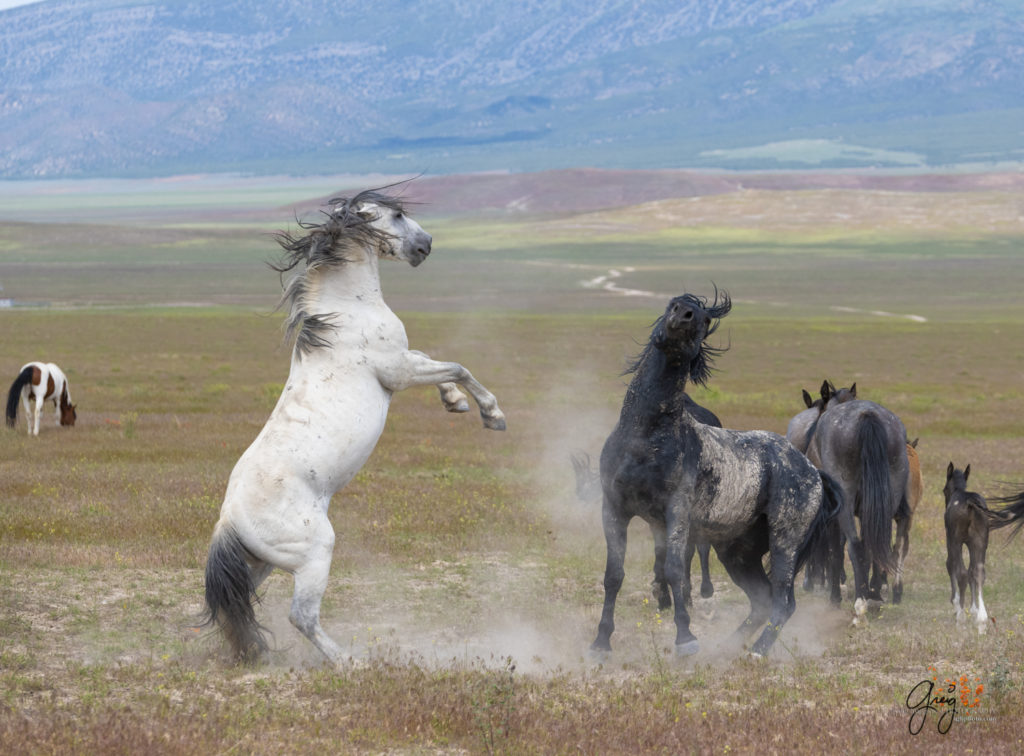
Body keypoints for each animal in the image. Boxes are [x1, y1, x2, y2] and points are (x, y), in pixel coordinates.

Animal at [201, 188, 505, 663]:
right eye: (396, 215)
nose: (426, 245)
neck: (346, 311)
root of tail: (229, 520)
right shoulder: (397, 372)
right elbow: (457, 366)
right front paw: (491, 414)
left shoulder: (404, 362)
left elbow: (437, 362)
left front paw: (453, 403)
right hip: (314, 553)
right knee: (301, 616)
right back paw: (348, 662)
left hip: (262, 563)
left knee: (242, 605)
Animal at [569, 383, 720, 614]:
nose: (580, 496)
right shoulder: (655, 519)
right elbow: (660, 552)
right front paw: (663, 593)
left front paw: (682, 594)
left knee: (700, 547)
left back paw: (704, 589)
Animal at [593, 290, 839, 655]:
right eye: (672, 303)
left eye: (705, 318)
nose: (685, 315)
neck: (645, 436)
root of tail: (812, 472)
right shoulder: (614, 509)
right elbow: (614, 574)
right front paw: (600, 642)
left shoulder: (675, 513)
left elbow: (675, 572)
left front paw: (686, 640)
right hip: (738, 553)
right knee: (762, 600)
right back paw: (725, 648)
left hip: (785, 541)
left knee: (783, 603)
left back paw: (757, 652)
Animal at [802, 395, 909, 614]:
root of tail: (867, 415)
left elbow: (835, 550)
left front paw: (835, 596)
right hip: (888, 499)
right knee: (875, 545)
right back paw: (873, 594)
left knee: (856, 546)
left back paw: (860, 602)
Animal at [942, 463, 991, 635]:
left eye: (944, 490)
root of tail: (971, 504)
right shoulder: (971, 543)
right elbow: (972, 571)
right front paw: (974, 610)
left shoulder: (951, 539)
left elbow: (951, 565)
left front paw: (956, 604)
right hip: (981, 541)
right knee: (979, 573)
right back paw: (982, 620)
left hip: (956, 540)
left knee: (961, 572)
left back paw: (961, 617)